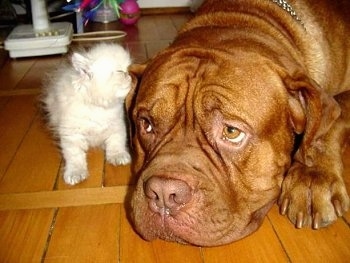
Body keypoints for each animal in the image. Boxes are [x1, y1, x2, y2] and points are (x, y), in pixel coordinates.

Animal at [42, 43, 133, 186]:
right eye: (120, 72)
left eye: (129, 67)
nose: (130, 74)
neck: (99, 109)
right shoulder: (72, 134)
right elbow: (75, 156)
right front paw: (75, 172)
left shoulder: (117, 125)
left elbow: (116, 141)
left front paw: (117, 155)